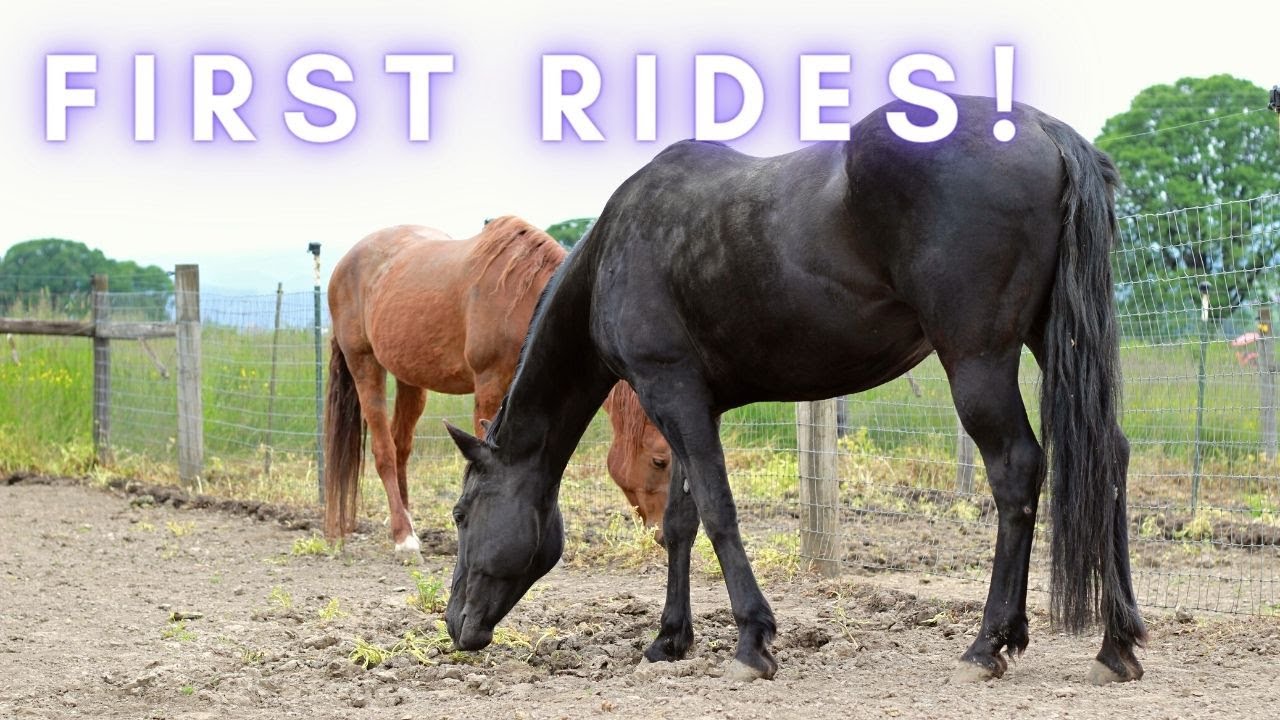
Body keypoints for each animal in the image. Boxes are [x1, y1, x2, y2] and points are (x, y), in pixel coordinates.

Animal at [323, 216, 670, 560]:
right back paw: (403, 536)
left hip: (409, 376)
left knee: (401, 448)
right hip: (364, 363)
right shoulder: (489, 384)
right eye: (659, 461)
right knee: (384, 451)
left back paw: (407, 522)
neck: (522, 297)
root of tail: (344, 264)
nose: (665, 535)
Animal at [443, 96, 1147, 685]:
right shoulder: (692, 406)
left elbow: (719, 513)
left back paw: (988, 643)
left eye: (460, 513)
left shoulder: (670, 391)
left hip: (977, 361)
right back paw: (1116, 643)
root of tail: (1043, 129)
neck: (613, 252)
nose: (454, 624)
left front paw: (752, 640)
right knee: (1110, 457)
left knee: (1016, 470)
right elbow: (681, 522)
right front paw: (669, 639)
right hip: (1049, 341)